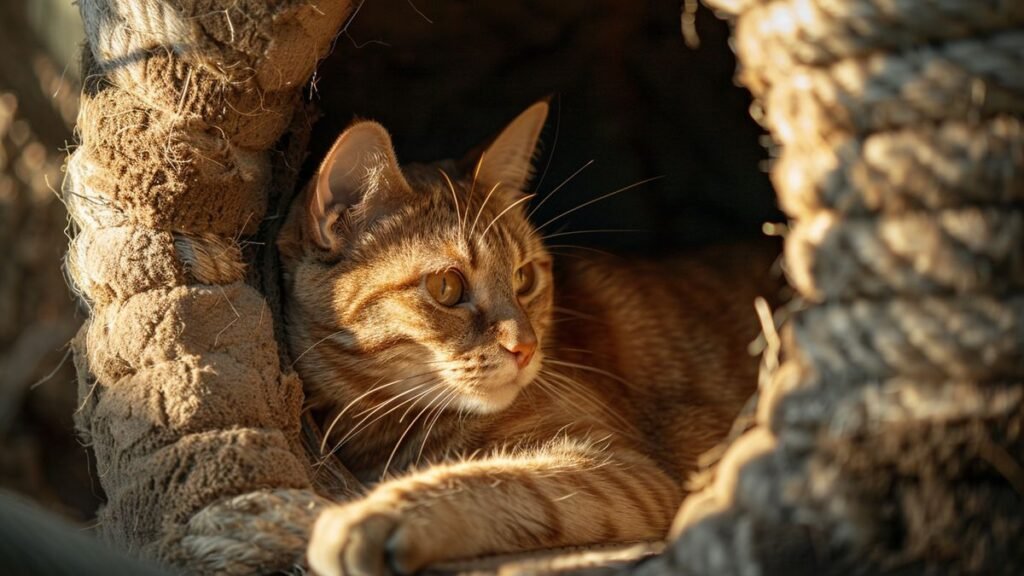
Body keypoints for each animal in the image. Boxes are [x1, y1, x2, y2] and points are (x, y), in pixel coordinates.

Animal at [274, 100, 774, 569]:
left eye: (524, 278)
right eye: (446, 287)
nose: (526, 347)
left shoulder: (624, 470)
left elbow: (498, 479)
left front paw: (376, 514)